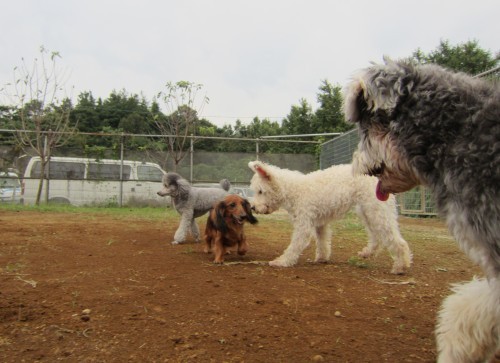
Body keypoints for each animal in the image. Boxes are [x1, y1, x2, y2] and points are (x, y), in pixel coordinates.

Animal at [248, 161, 412, 274]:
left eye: (260, 191)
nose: (253, 207)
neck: (294, 189)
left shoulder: (304, 225)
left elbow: (294, 246)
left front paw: (282, 261)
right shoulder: (320, 224)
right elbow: (323, 243)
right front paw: (322, 258)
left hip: (377, 212)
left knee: (398, 241)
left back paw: (401, 266)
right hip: (367, 212)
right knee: (376, 237)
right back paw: (367, 253)